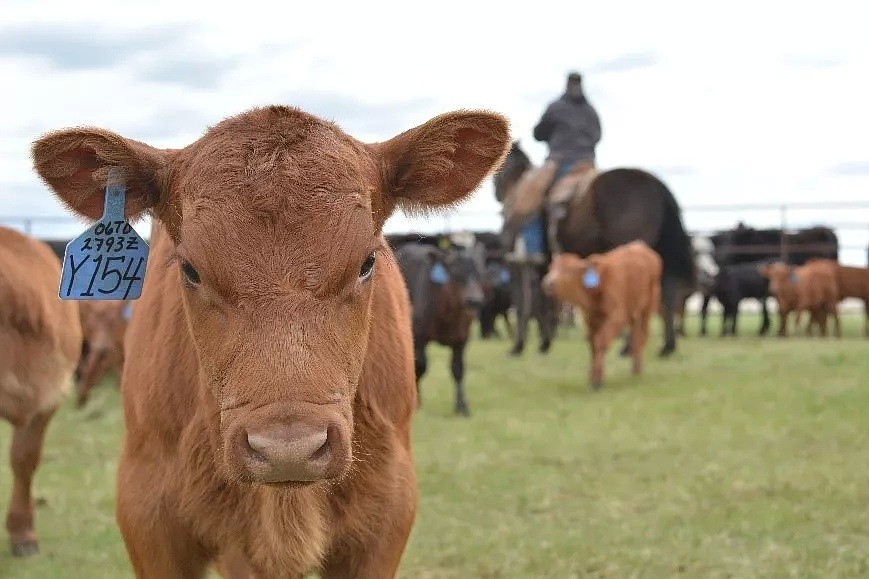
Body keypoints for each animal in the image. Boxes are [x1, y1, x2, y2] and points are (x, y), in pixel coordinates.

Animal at [544, 240, 656, 390]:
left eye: (570, 271)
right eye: (551, 268)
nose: (548, 283)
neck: (598, 285)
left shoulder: (616, 317)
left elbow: (600, 343)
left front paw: (597, 379)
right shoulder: (590, 320)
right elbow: (593, 345)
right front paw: (592, 377)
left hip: (647, 308)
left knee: (642, 335)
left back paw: (637, 371)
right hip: (634, 313)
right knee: (635, 336)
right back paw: (635, 369)